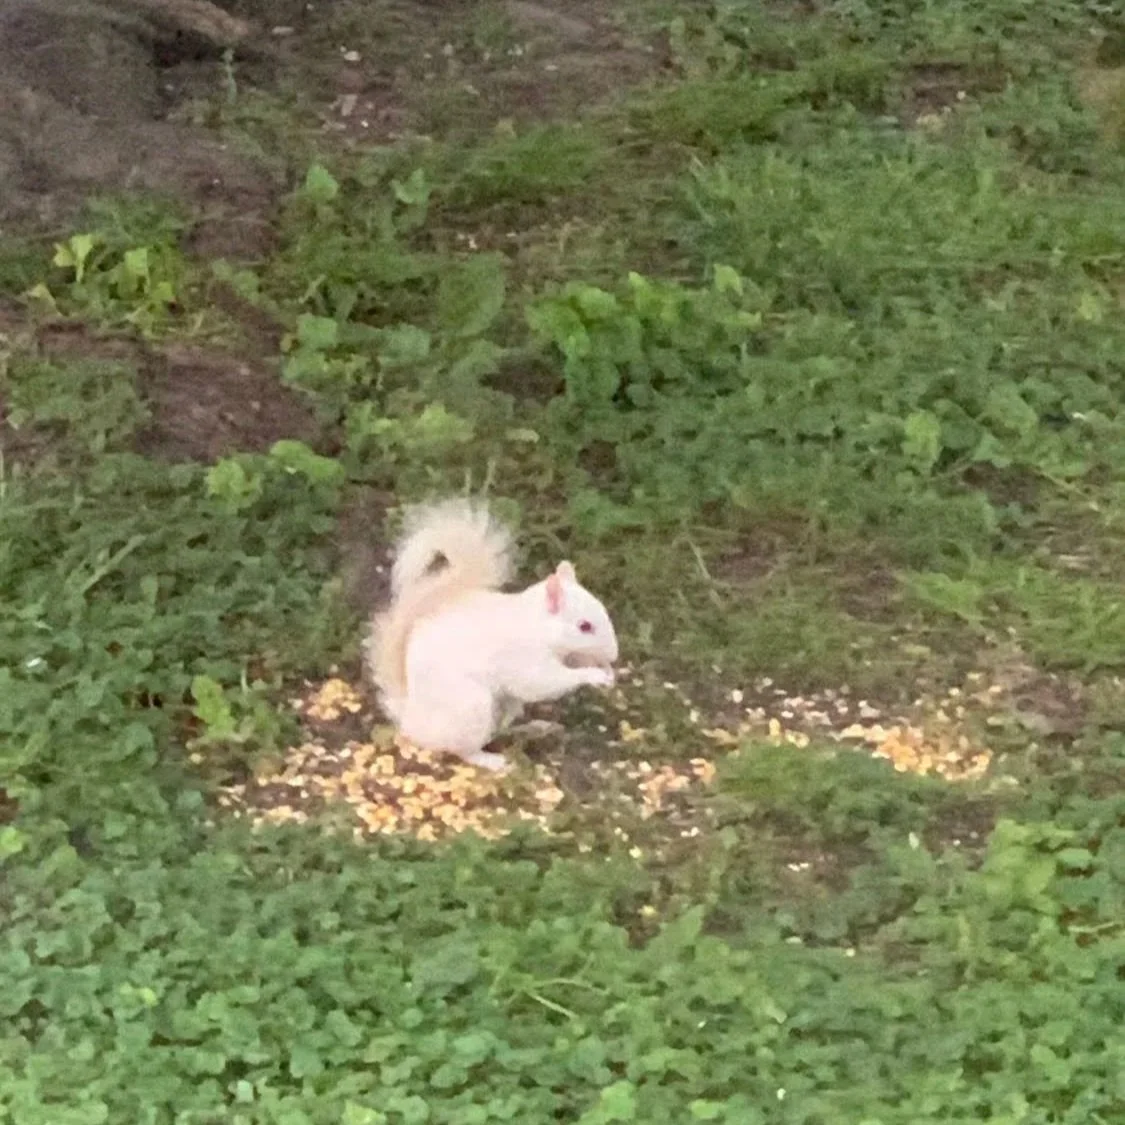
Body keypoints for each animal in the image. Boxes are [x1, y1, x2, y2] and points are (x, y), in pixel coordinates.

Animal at [365, 497, 619, 772]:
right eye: (585, 626)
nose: (614, 655)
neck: (537, 627)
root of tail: (411, 718)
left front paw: (605, 669)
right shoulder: (525, 660)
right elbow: (544, 682)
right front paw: (593, 675)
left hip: (503, 708)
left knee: (498, 732)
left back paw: (535, 729)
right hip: (471, 707)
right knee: (463, 750)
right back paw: (492, 760)